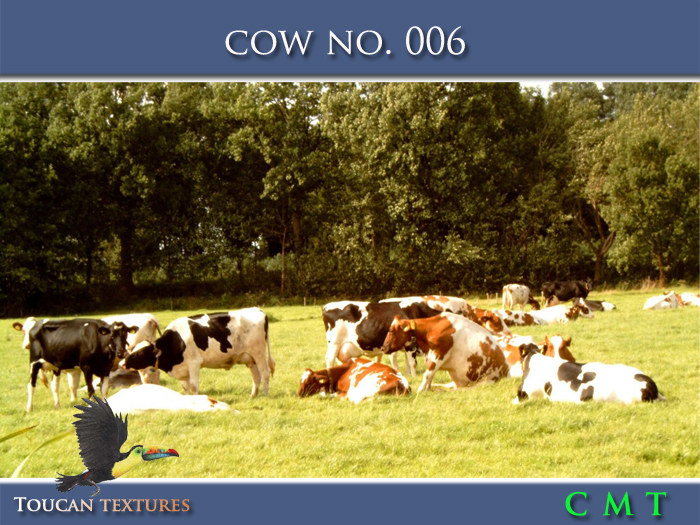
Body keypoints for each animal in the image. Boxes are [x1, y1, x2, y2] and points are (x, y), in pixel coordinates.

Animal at [121, 308, 274, 397]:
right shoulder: (183, 369)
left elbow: (194, 386)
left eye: (139, 354)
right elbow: (185, 387)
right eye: (132, 350)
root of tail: (257, 309)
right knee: (256, 376)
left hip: (259, 353)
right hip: (250, 358)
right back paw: (253, 395)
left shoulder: (194, 363)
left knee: (265, 373)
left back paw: (265, 394)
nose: (122, 362)